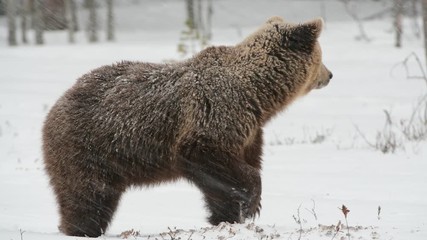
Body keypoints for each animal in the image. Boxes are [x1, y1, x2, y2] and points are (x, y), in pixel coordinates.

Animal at [41, 15, 332, 237]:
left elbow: (225, 179)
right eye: (321, 56)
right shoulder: (214, 116)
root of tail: (55, 106)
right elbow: (211, 157)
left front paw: (227, 216)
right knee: (88, 196)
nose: (330, 75)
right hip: (90, 147)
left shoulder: (249, 132)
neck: (257, 95)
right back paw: (81, 229)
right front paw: (251, 203)